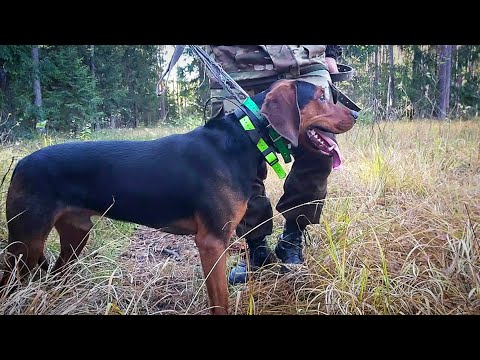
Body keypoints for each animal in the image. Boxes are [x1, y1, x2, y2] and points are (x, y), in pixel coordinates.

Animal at [0, 78, 356, 312]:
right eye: (321, 96)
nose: (356, 113)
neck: (244, 139)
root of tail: (20, 164)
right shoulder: (211, 241)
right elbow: (220, 302)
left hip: (75, 234)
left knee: (56, 275)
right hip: (25, 242)